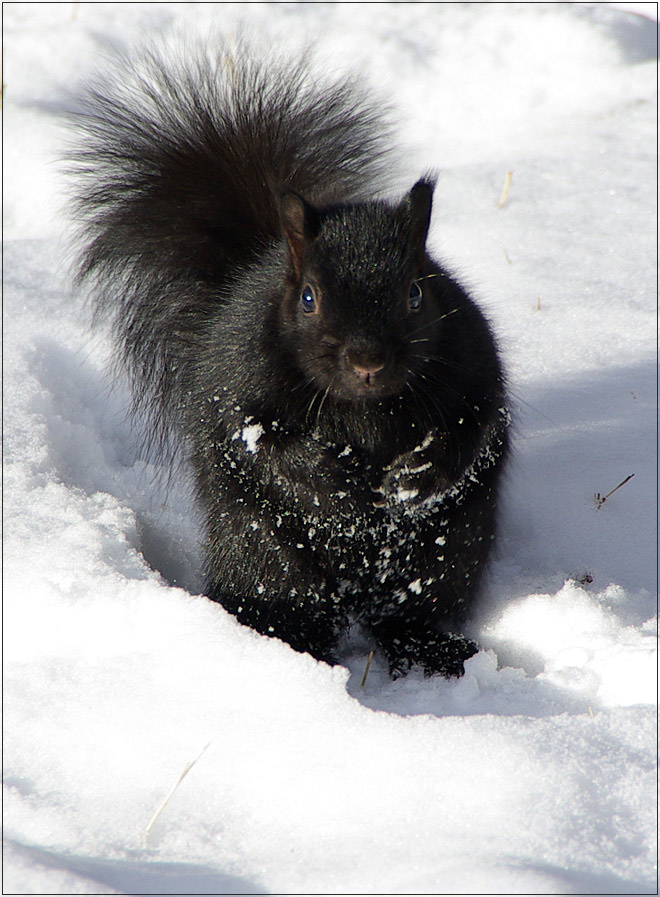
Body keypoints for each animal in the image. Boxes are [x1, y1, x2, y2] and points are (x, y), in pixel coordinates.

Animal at [67, 40, 510, 678]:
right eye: (308, 298)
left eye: (416, 294)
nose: (368, 361)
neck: (361, 410)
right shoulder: (239, 381)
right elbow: (262, 441)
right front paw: (333, 479)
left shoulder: (472, 360)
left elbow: (470, 424)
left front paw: (417, 473)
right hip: (264, 552)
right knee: (284, 602)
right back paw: (286, 655)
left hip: (449, 552)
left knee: (408, 613)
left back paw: (436, 651)